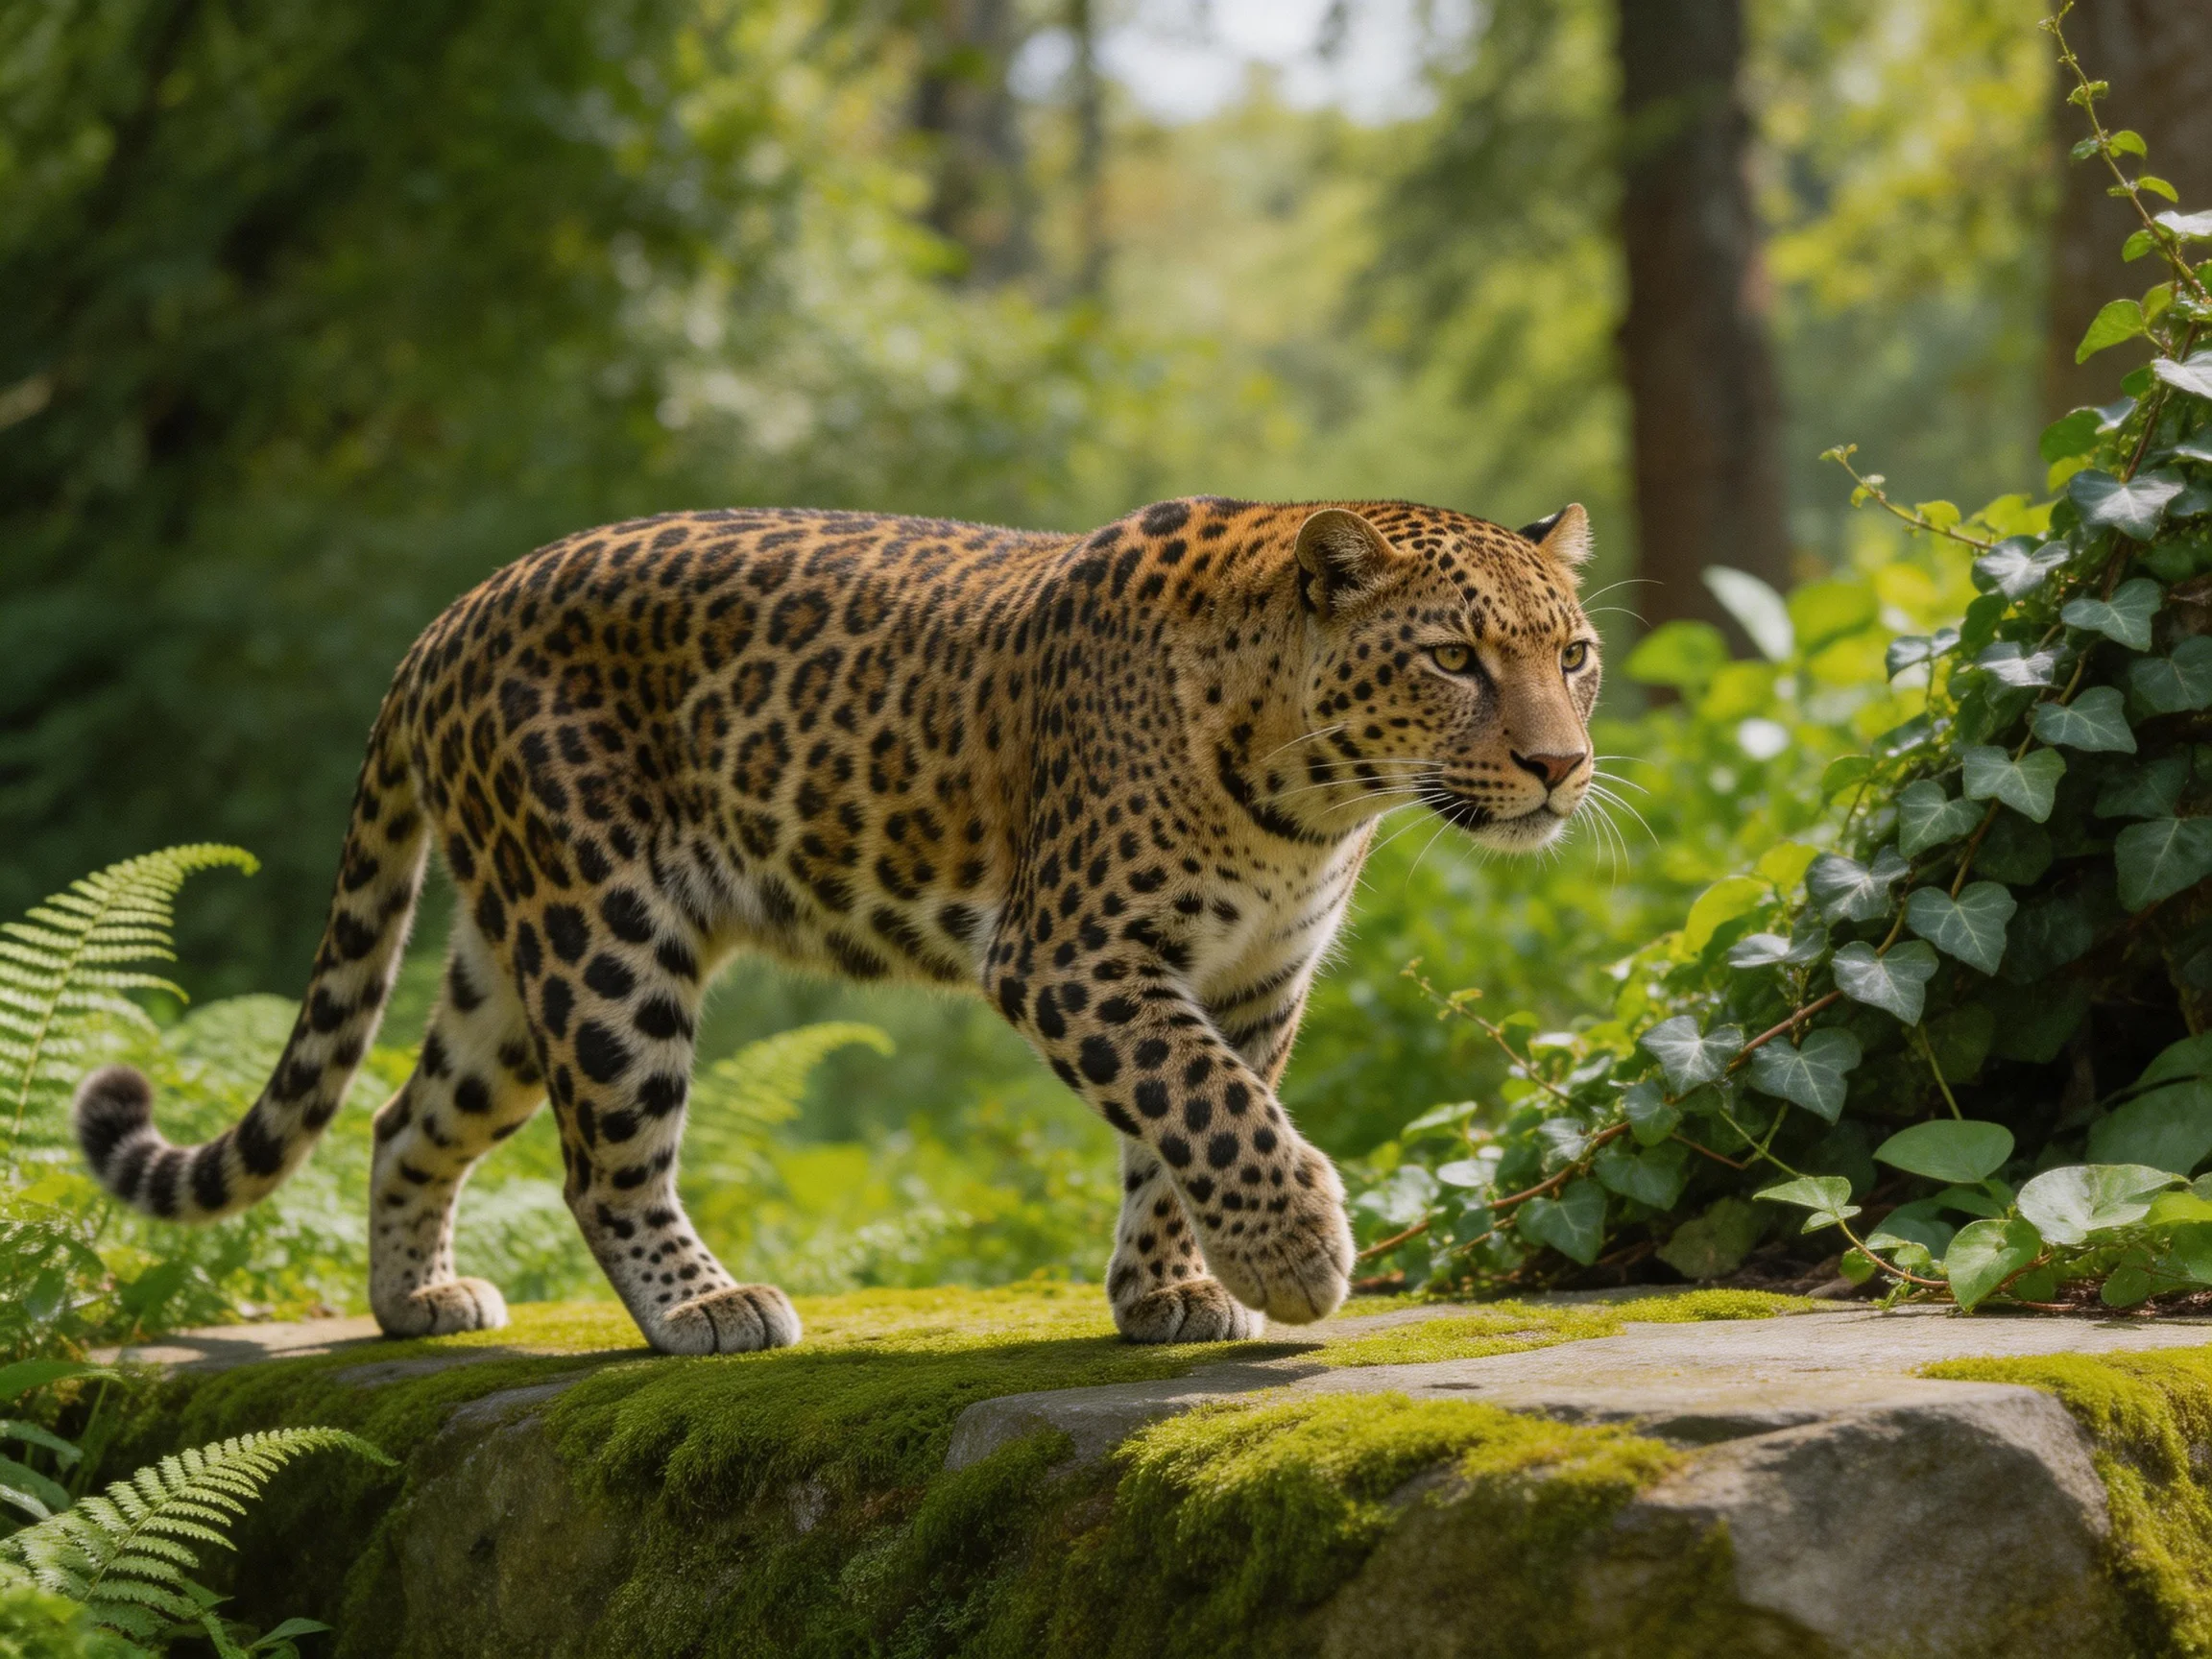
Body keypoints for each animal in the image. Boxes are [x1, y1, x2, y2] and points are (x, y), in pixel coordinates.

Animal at [71, 495, 1601, 1354]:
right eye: (1452, 658)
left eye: (1572, 654)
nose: (1561, 766)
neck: (1309, 795)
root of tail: (446, 620)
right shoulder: (1069, 956)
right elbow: (1208, 1105)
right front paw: (1294, 1258)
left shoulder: (1252, 979)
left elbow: (1188, 1127)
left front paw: (1172, 1289)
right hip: (604, 936)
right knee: (604, 1165)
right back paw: (705, 1312)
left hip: (512, 963)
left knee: (405, 1117)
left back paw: (416, 1306)